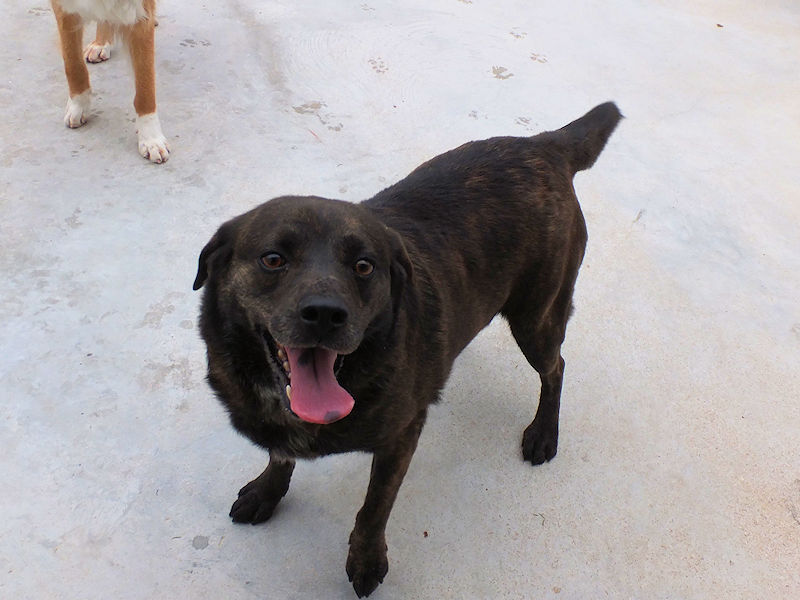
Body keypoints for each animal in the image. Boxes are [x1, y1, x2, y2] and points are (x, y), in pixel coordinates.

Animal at [51, 0, 169, 162]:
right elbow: (73, 65)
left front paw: (151, 138)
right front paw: (79, 105)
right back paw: (100, 43)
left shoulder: (141, 18)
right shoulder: (64, 10)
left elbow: (145, 88)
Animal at [193, 102, 621, 597]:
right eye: (273, 259)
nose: (325, 314)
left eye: (364, 266)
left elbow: (375, 506)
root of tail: (544, 145)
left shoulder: (401, 435)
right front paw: (268, 491)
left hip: (537, 319)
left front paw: (366, 559)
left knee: (556, 367)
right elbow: (280, 455)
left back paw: (544, 431)